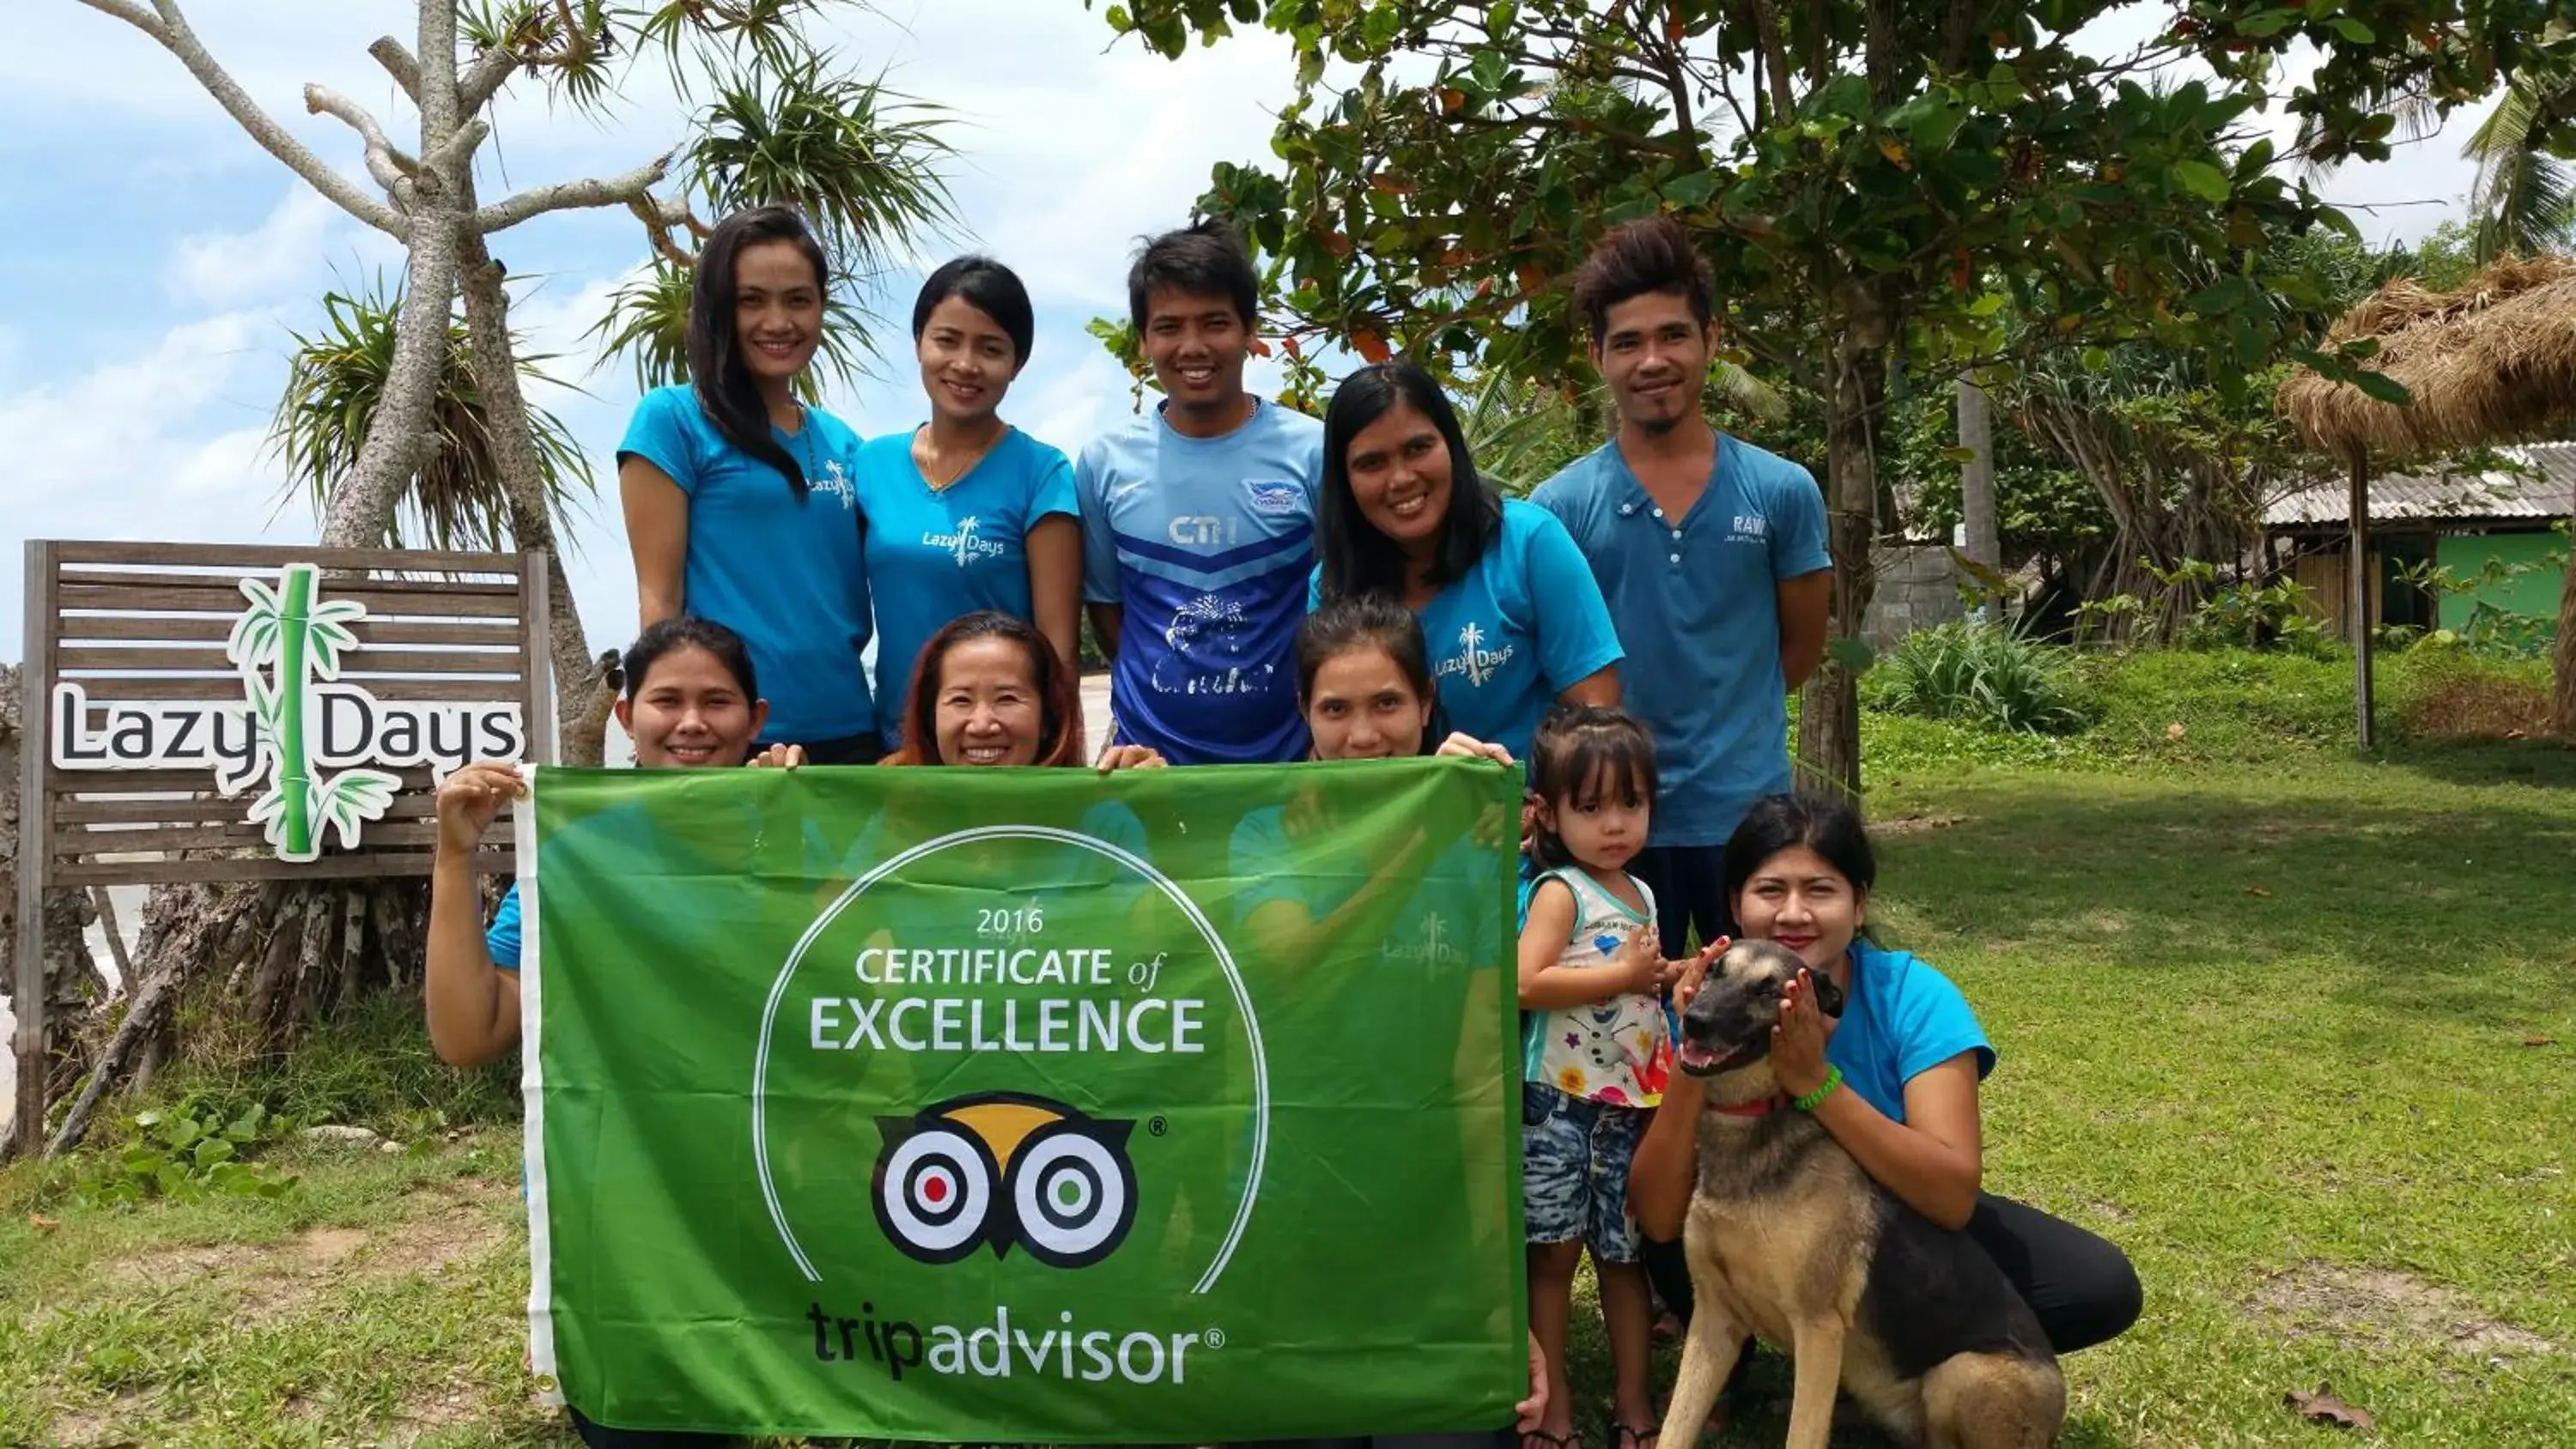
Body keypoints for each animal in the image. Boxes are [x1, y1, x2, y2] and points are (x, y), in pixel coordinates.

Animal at [1649, 942, 2071, 1449]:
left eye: (1768, 989)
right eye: (1714, 970)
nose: (1694, 1019)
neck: (1753, 1122)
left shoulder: (1818, 1330)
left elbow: (1804, 1435)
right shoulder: (1714, 1319)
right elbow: (1676, 1426)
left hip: (1960, 1374)